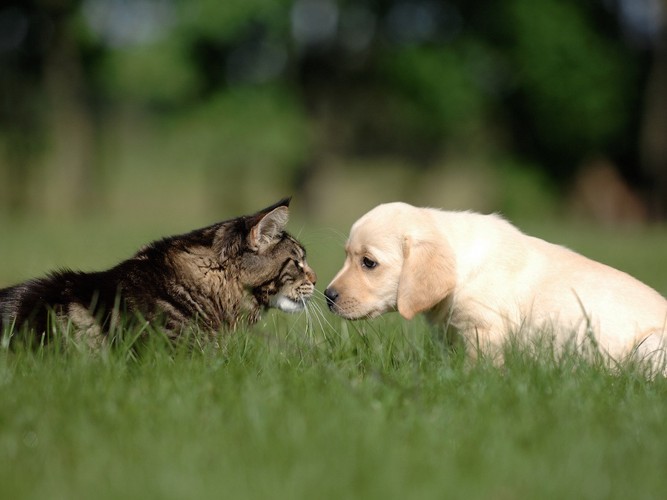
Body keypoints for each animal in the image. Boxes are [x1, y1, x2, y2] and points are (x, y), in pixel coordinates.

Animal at [324, 201, 667, 370]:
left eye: (368, 262)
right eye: (346, 256)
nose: (327, 296)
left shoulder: (485, 331)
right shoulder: (452, 334)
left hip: (649, 347)